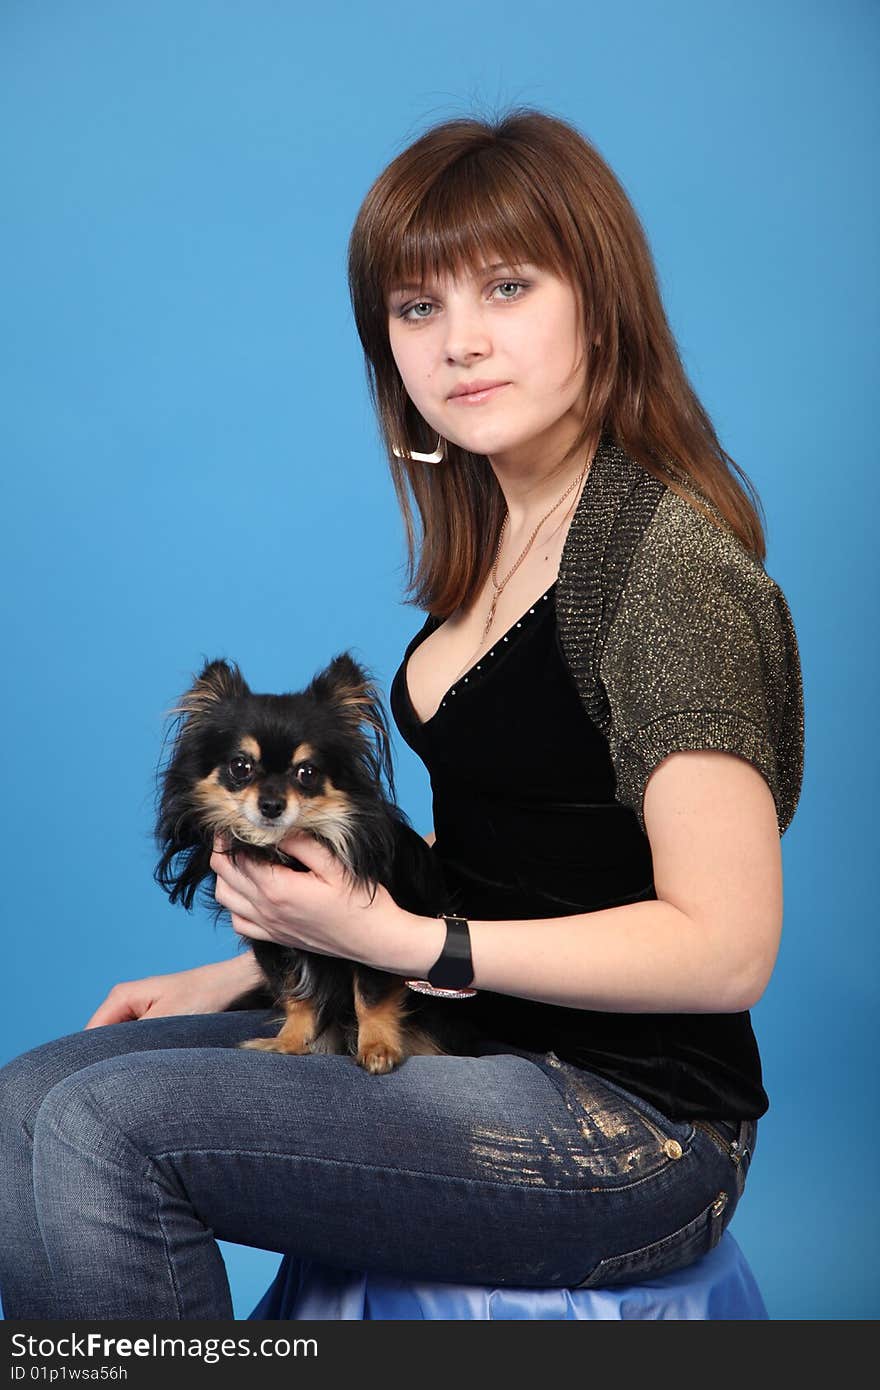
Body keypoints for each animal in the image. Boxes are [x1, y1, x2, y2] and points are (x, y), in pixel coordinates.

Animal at [154, 653, 469, 1073]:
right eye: (240, 767)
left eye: (306, 773)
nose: (271, 805)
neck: (283, 849)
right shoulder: (274, 942)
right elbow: (297, 995)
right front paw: (290, 1041)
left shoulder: (376, 941)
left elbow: (370, 995)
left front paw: (377, 1047)